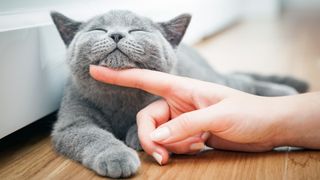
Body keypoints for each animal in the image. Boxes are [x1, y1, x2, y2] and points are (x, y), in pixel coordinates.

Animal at [50, 10, 308, 178]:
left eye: (137, 30)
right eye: (98, 29)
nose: (116, 34)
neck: (119, 94)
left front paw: (138, 136)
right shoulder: (72, 122)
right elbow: (93, 136)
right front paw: (117, 156)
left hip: (209, 79)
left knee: (240, 82)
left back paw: (286, 92)